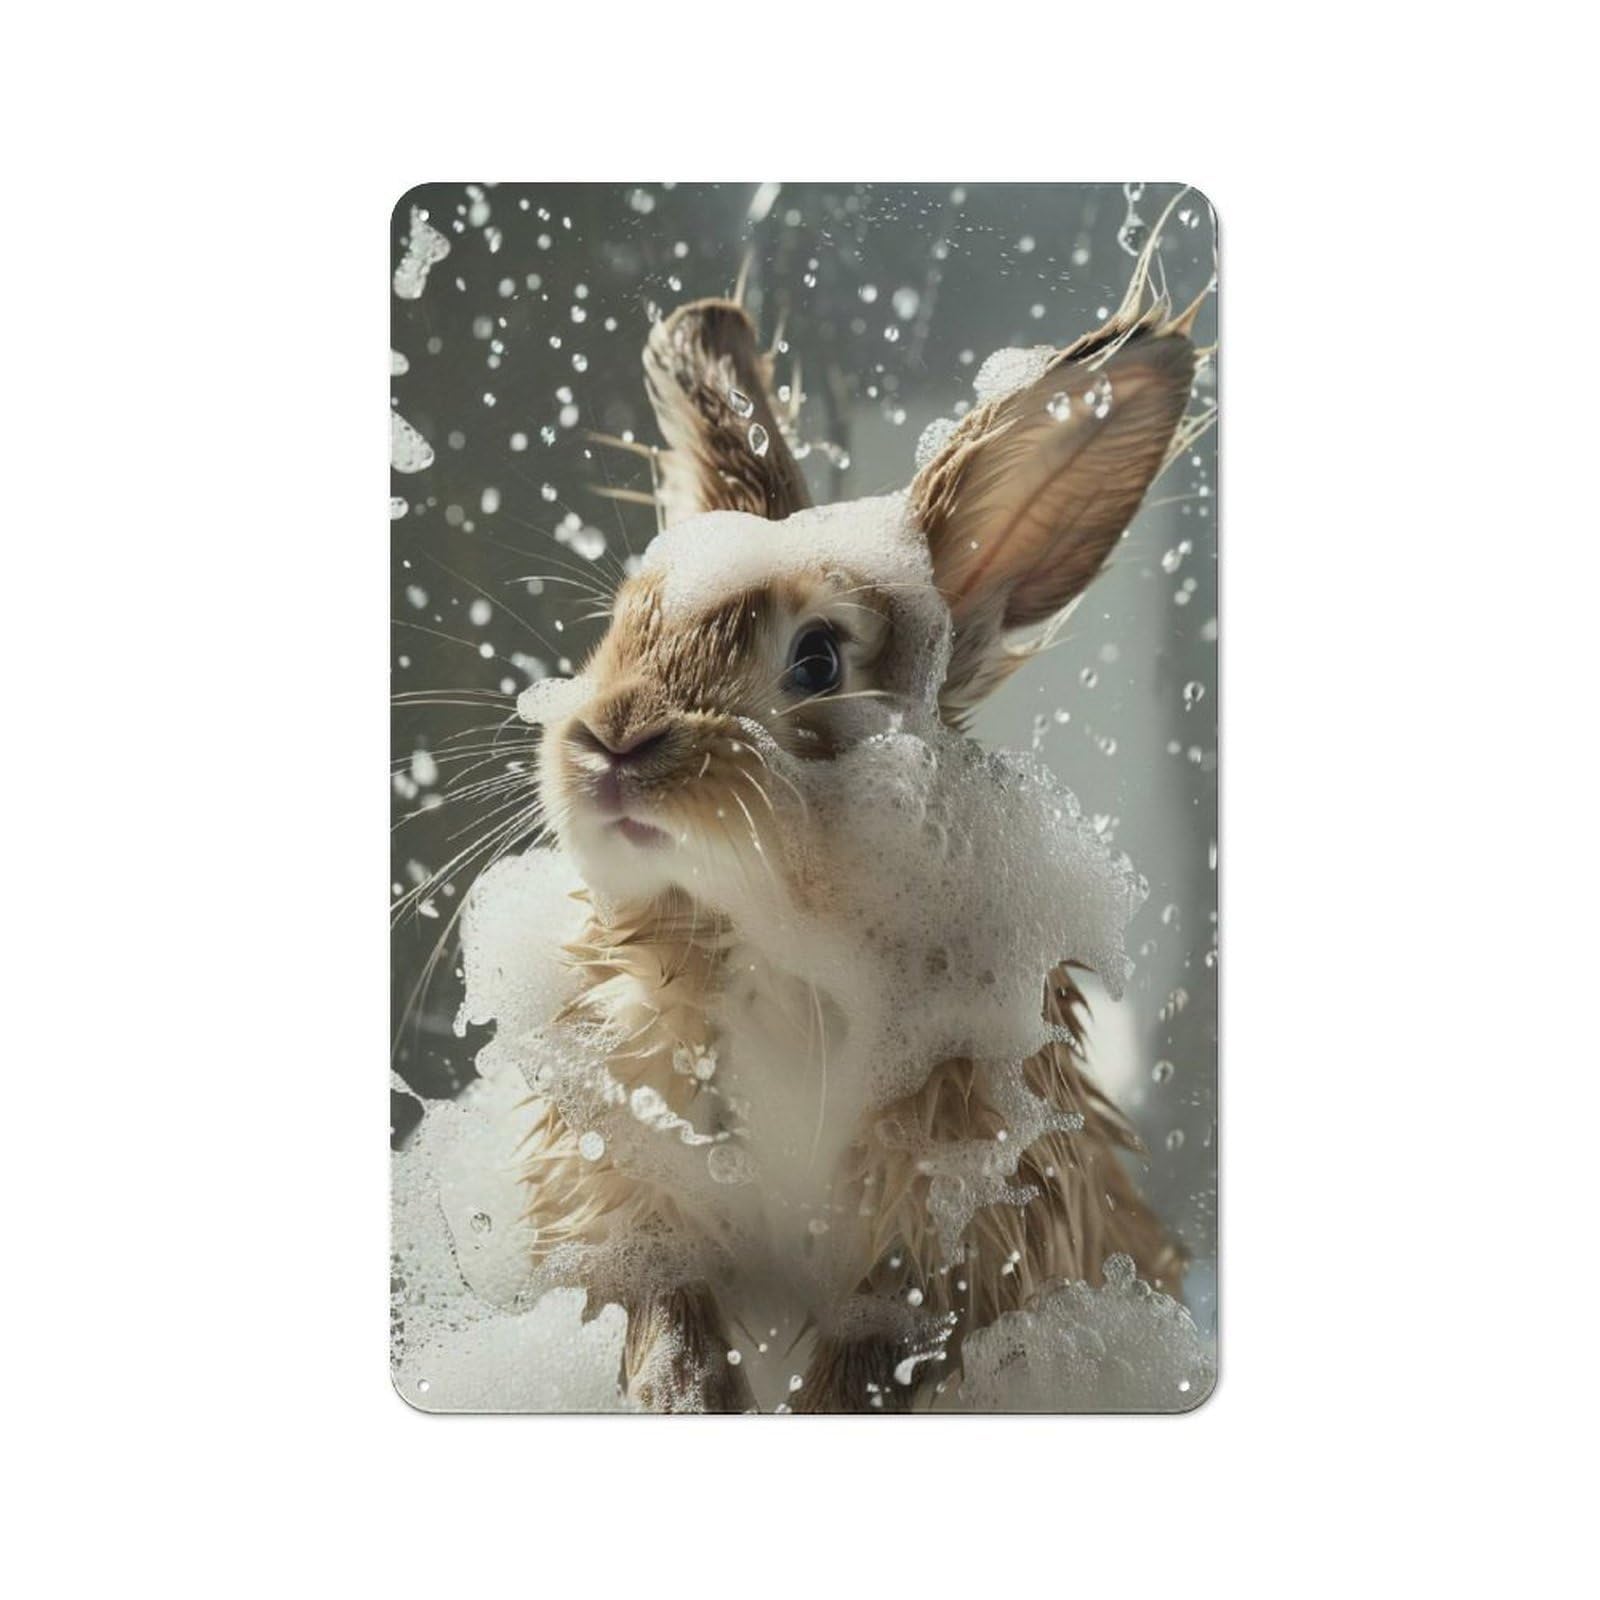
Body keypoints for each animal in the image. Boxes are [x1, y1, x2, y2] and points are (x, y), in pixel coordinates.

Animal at [476, 216, 1212, 1413]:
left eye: (817, 660)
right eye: (622, 623)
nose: (612, 741)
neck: (771, 941)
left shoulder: (950, 1237)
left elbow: (871, 1354)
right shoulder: (635, 1196)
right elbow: (662, 1304)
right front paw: (676, 1395)